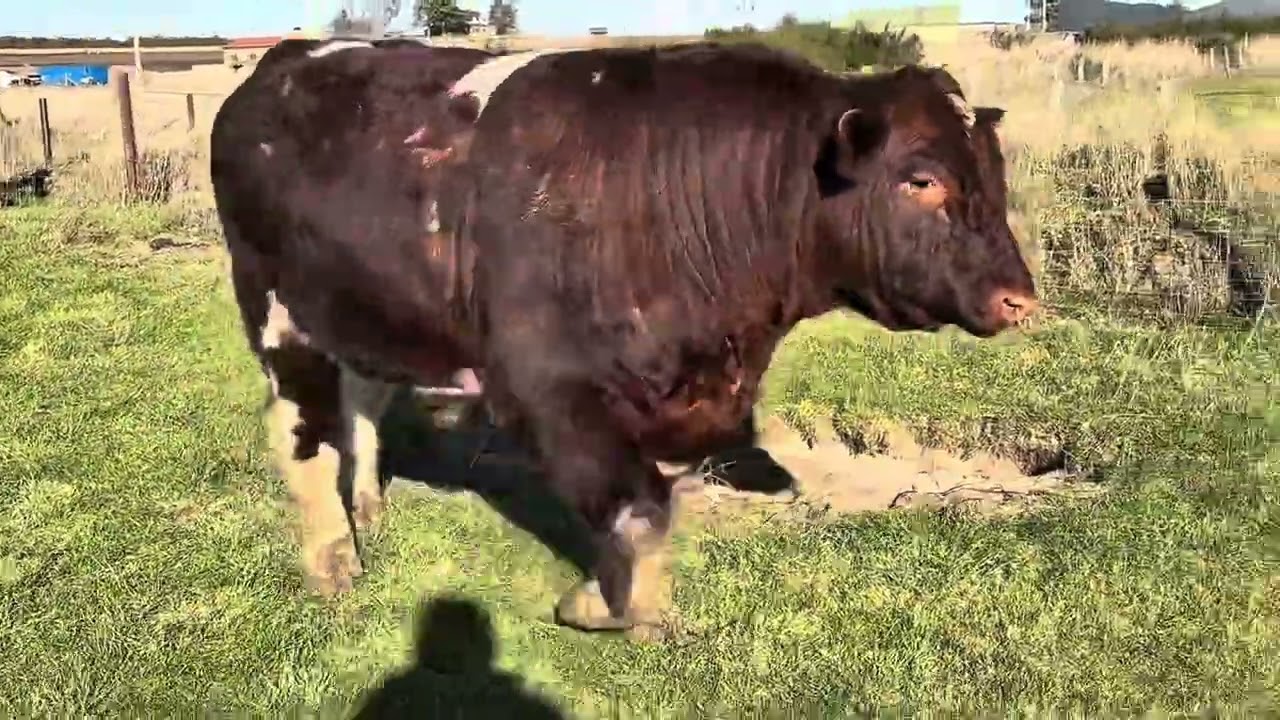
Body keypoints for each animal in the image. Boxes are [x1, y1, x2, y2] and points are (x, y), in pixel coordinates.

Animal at [210, 38, 1038, 638]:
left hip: (368, 310)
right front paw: (603, 608)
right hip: (276, 309)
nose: (1021, 299)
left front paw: (642, 605)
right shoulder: (548, 389)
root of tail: (285, 60)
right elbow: (637, 510)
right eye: (921, 179)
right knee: (302, 431)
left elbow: (657, 511)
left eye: (995, 176)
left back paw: (371, 509)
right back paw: (332, 559)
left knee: (363, 400)